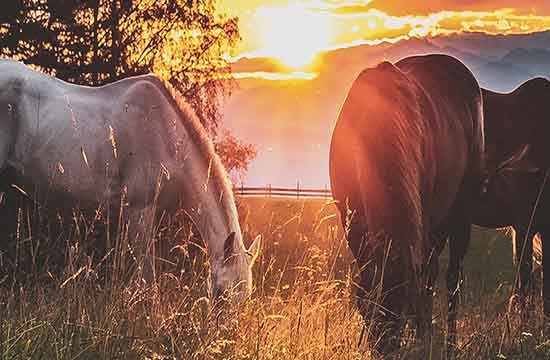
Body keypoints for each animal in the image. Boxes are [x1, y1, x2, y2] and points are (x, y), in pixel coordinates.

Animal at [330, 54, 486, 358]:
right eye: (367, 312)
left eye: (401, 316)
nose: (385, 351)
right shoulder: (354, 224)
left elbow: (425, 285)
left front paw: (424, 337)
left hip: (459, 217)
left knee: (450, 281)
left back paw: (448, 343)